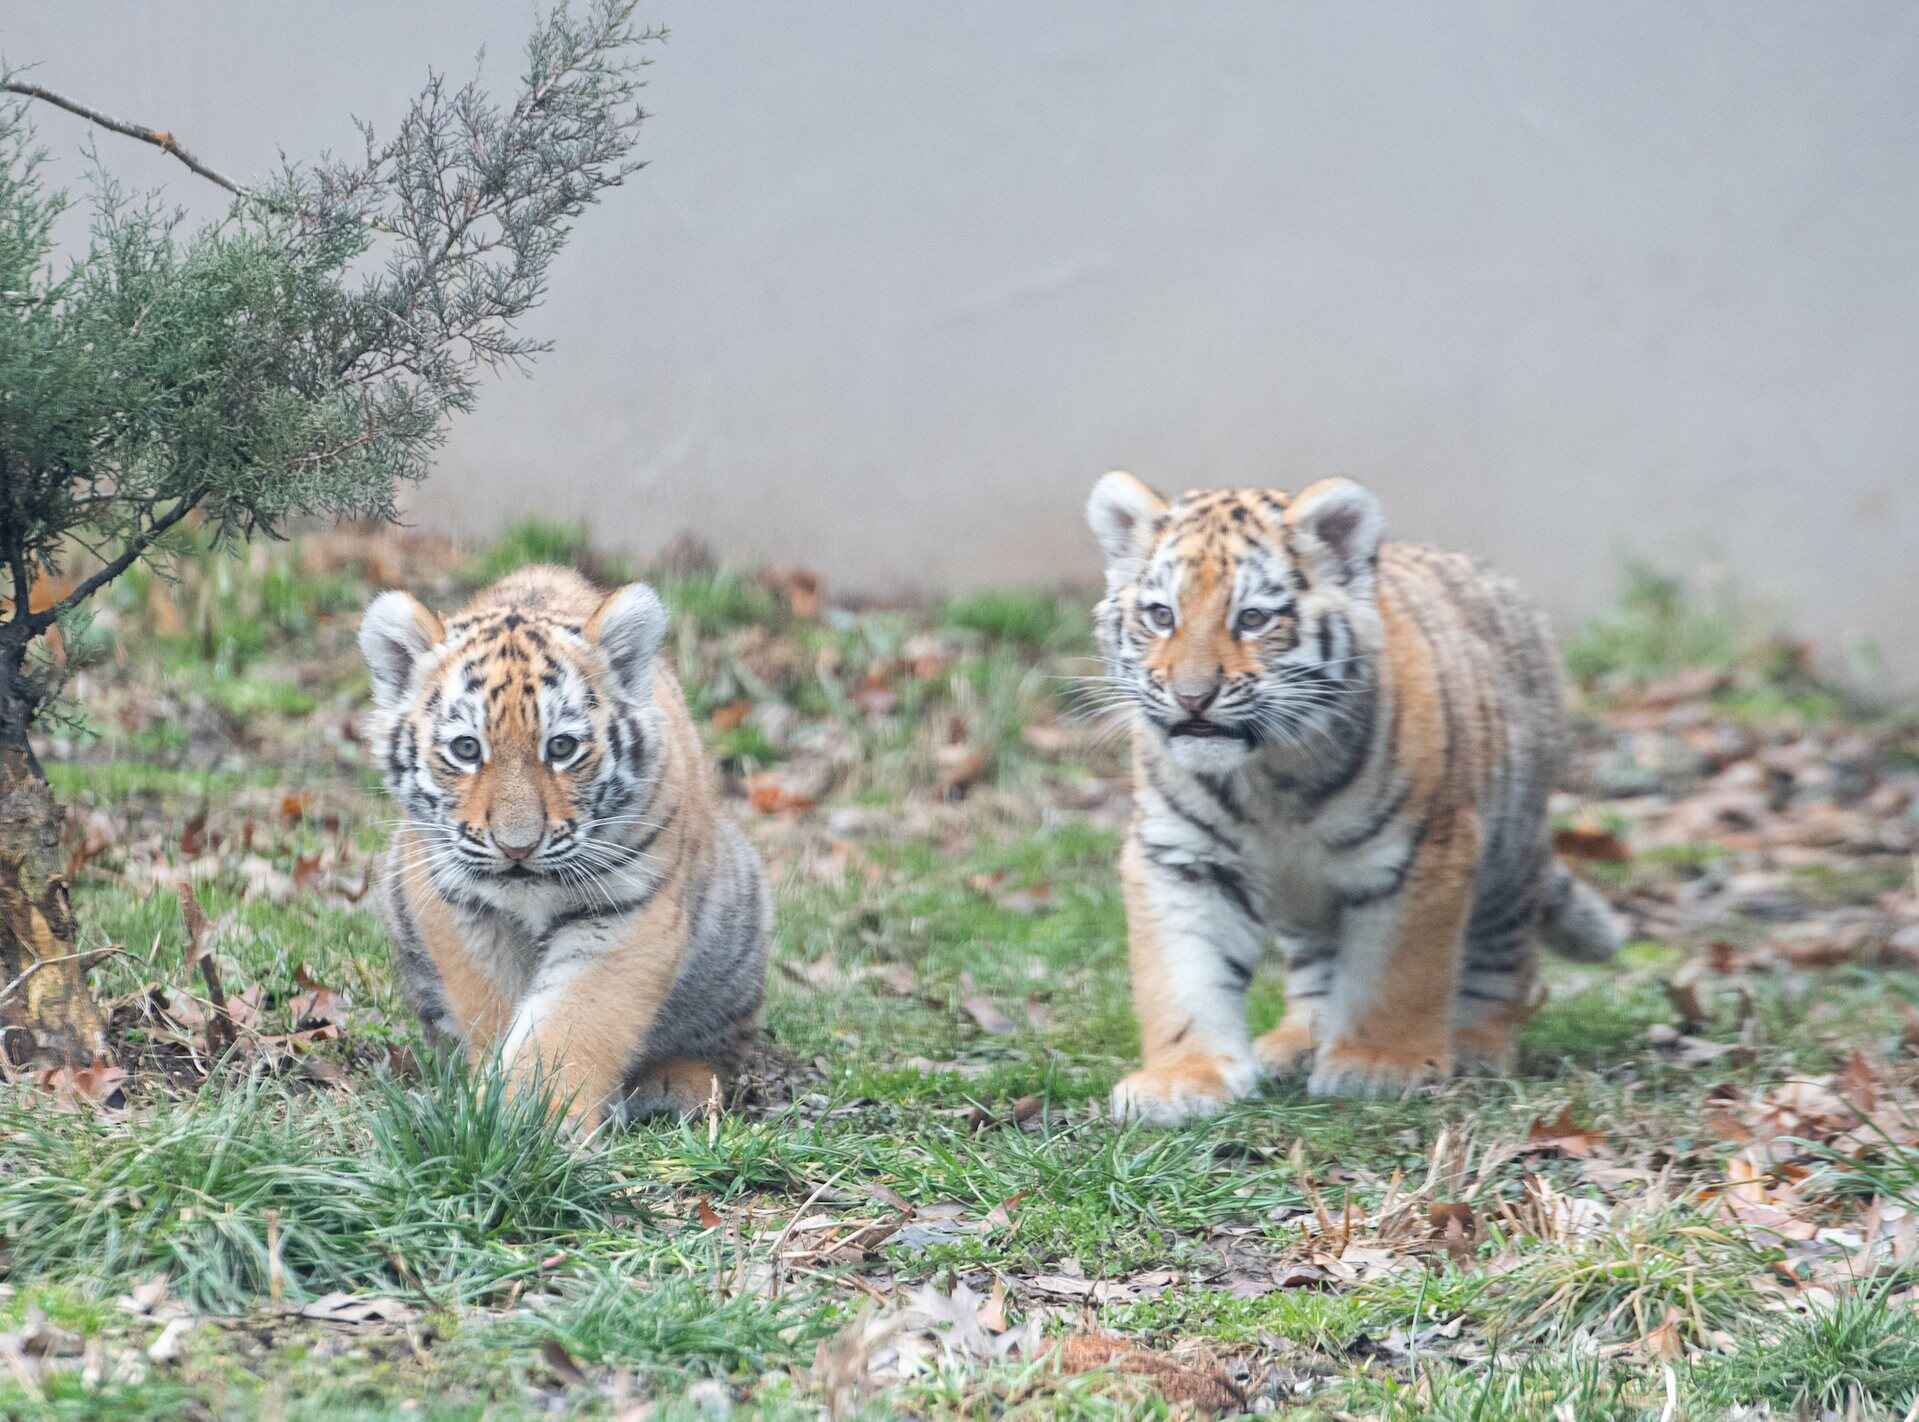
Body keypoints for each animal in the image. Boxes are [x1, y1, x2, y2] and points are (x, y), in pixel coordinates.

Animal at [358, 564, 769, 1132]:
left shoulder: (627, 912)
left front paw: (533, 1118)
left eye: (561, 747)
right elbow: (493, 1007)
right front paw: (497, 1109)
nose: (517, 847)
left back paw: (678, 1084)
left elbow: (573, 1020)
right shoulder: (461, 904)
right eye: (466, 749)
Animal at [1085, 472, 1622, 1123]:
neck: (1267, 775)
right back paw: (1299, 1042)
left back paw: (1474, 1046)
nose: (1192, 697)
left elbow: (1395, 975)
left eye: (1254, 618)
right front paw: (1182, 1079)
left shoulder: (1420, 854)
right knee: (1319, 964)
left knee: (1505, 954)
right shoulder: (1182, 860)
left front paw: (1378, 1066)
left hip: (1509, 852)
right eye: (1162, 615)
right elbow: (1185, 973)